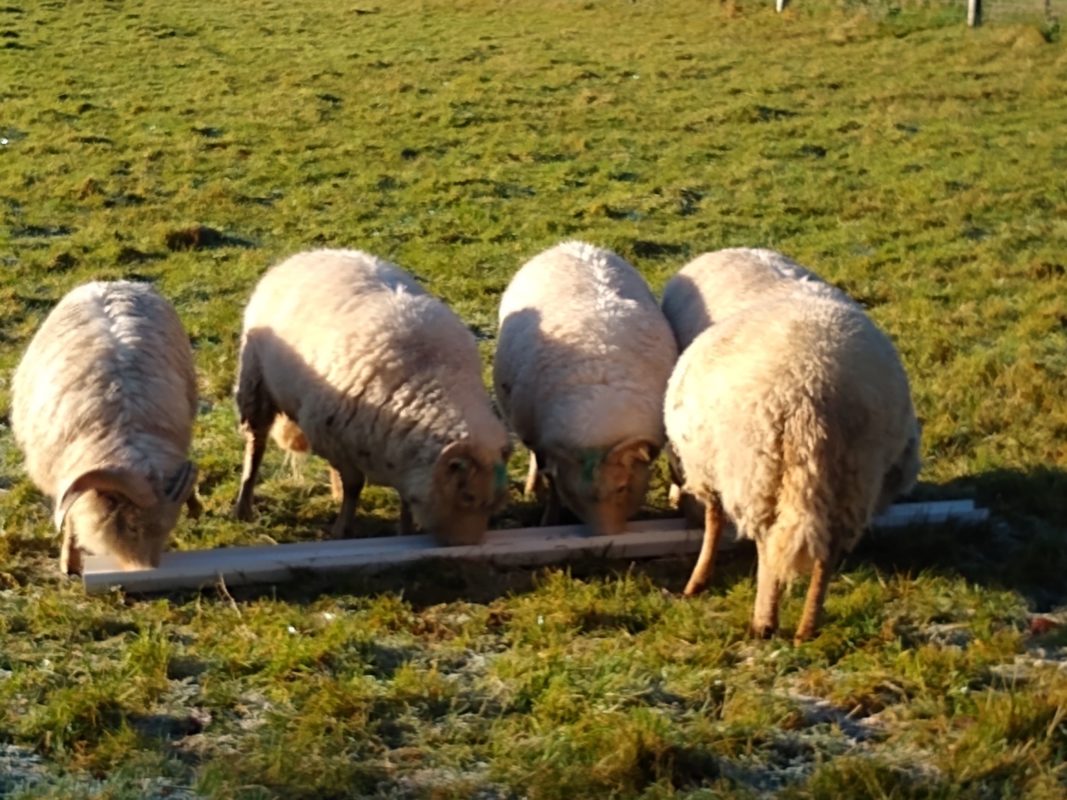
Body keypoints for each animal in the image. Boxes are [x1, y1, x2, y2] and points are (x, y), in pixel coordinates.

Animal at [11, 281, 200, 576]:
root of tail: (111, 281)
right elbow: (71, 518)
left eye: (168, 528)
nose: (146, 569)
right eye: (132, 526)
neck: (125, 430)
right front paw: (69, 560)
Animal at [235, 249, 510, 546]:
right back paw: (243, 506)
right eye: (467, 496)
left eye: (493, 504)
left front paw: (404, 530)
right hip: (255, 384)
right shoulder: (335, 439)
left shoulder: (395, 452)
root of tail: (310, 253)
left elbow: (403, 498)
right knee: (256, 445)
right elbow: (355, 485)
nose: (464, 545)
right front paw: (343, 529)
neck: (432, 381)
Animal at [490, 241, 674, 535]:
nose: (606, 536)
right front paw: (549, 520)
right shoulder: (544, 444)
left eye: (622, 488)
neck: (598, 416)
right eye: (574, 495)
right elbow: (552, 484)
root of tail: (572, 244)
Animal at [661, 250, 921, 644]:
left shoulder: (709, 464)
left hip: (760, 472)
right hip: (854, 473)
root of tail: (815, 392)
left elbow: (714, 519)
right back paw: (807, 626)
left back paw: (764, 621)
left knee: (769, 547)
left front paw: (697, 580)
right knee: (827, 549)